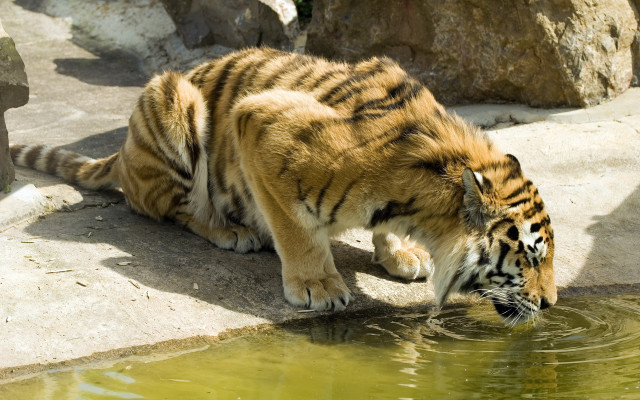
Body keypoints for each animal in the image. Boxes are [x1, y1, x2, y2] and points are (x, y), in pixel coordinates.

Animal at [10, 47, 556, 323]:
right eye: (530, 257)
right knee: (178, 209)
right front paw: (317, 286)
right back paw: (231, 231)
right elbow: (297, 229)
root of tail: (122, 153)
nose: (551, 302)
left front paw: (401, 253)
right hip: (173, 99)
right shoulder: (264, 123)